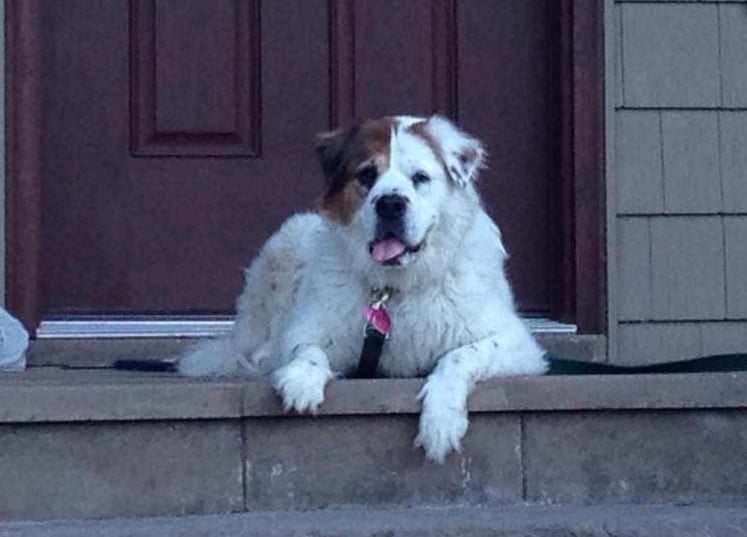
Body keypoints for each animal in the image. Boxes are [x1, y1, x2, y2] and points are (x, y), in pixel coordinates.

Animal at [178, 114, 548, 460]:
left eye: (420, 178)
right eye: (367, 176)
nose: (390, 203)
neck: (394, 289)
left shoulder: (518, 344)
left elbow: (460, 356)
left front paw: (441, 422)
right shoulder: (310, 329)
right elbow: (307, 350)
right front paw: (302, 381)